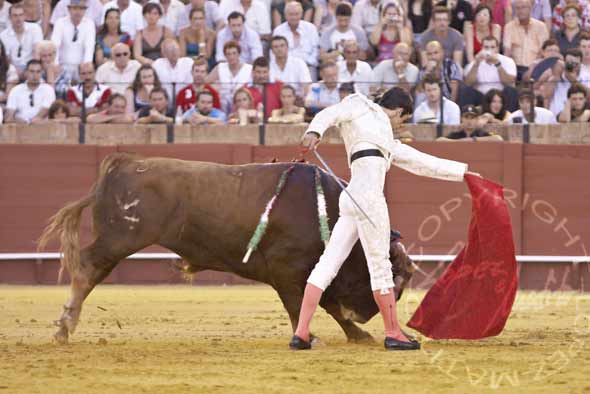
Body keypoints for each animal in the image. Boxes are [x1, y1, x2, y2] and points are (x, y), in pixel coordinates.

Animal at [39, 152, 416, 344]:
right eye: (395, 286)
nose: (364, 314)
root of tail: (124, 163)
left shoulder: (302, 271)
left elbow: (326, 303)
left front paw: (357, 334)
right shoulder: (287, 271)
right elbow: (308, 304)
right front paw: (311, 336)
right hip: (119, 239)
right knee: (87, 268)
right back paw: (63, 329)